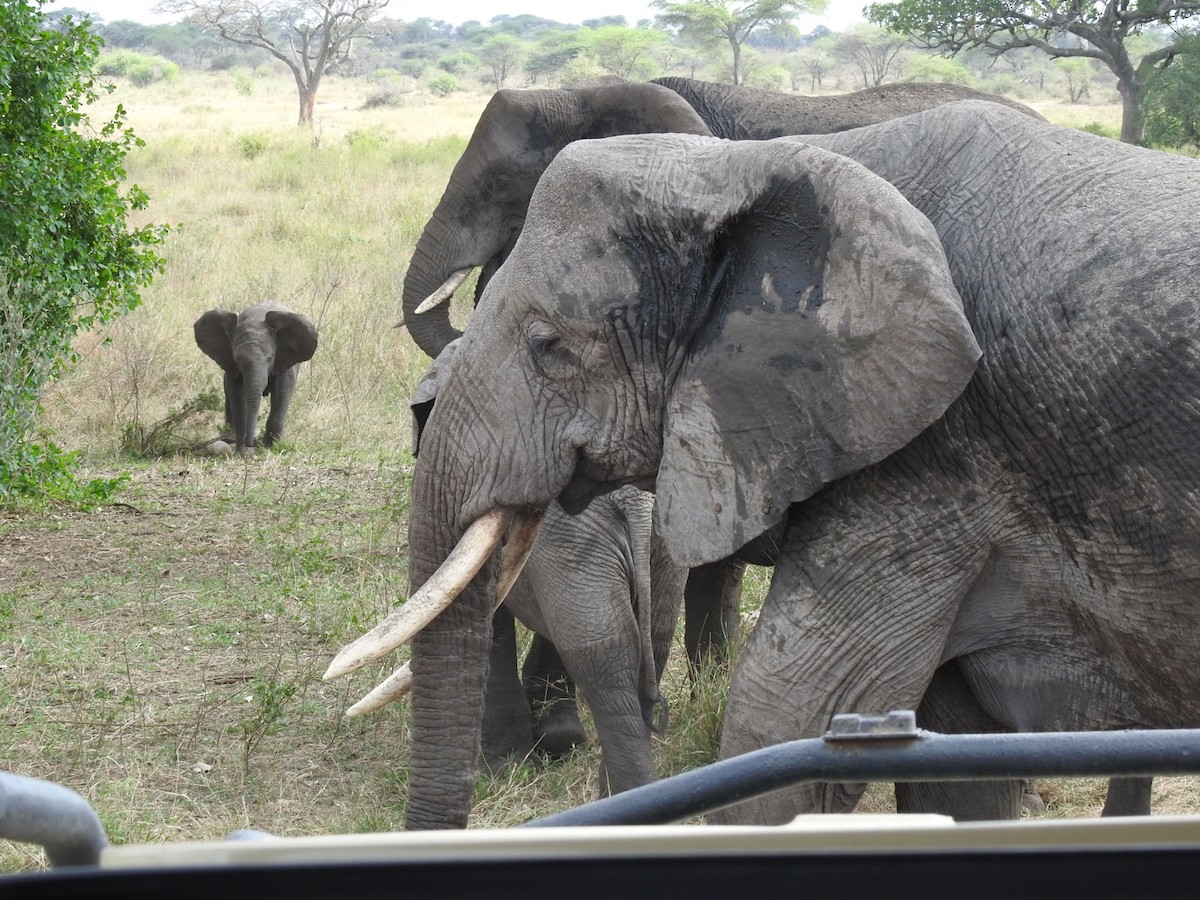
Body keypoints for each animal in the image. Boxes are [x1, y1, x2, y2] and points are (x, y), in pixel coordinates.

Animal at [194, 302, 318, 455]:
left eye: (270, 358)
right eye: (237, 359)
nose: (252, 442)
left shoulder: (285, 360)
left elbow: (282, 392)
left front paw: (273, 448)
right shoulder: (232, 366)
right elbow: (238, 397)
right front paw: (242, 454)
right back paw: (229, 439)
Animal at [409, 340, 689, 794]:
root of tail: (634, 501)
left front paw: (503, 766)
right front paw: (552, 740)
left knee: (600, 649)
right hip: (661, 545)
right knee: (651, 635)